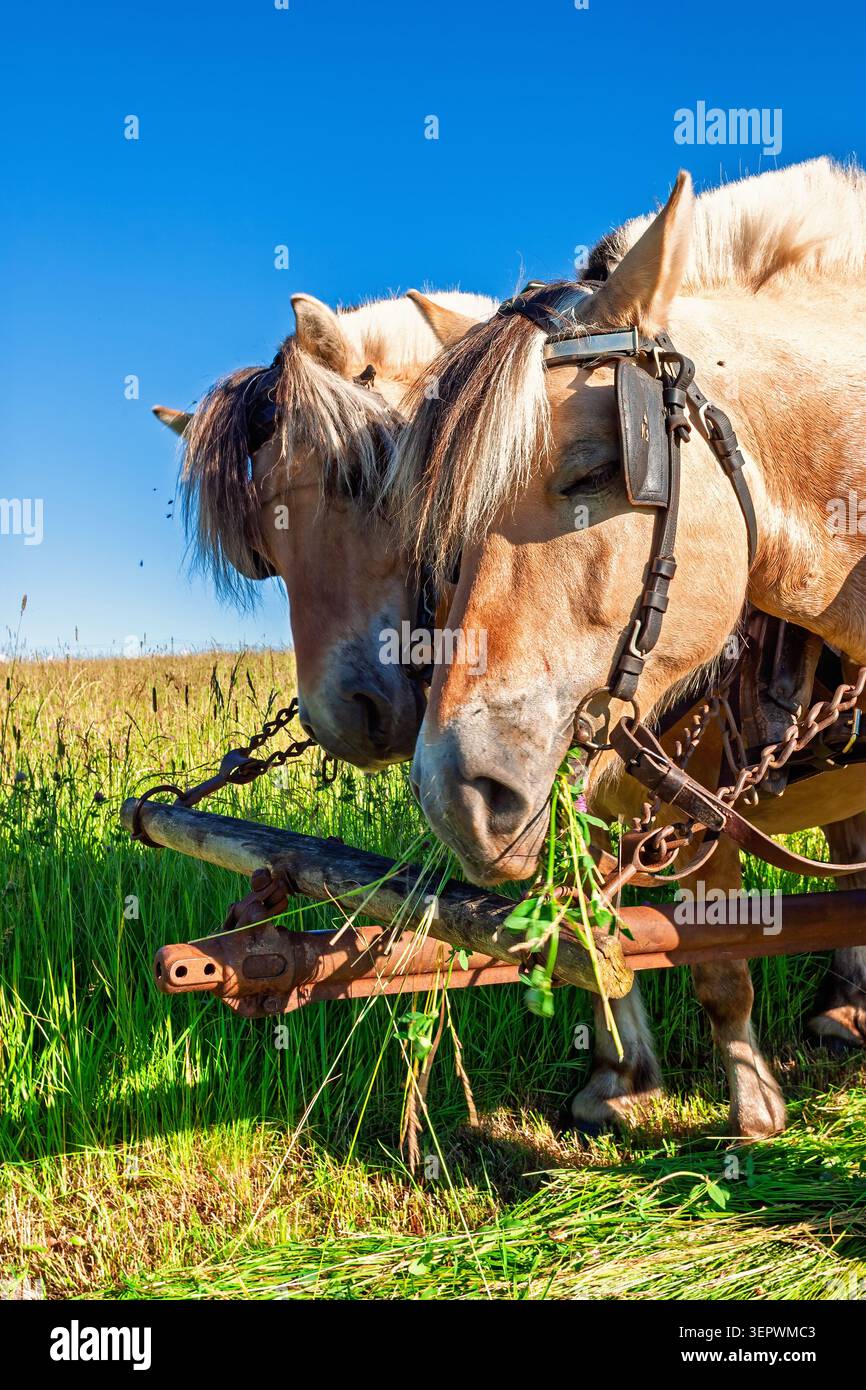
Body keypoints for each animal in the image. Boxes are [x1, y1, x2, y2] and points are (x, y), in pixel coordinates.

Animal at [388, 159, 866, 1137]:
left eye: (596, 469)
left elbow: (715, 952)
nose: (453, 794)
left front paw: (752, 1111)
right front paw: (621, 1081)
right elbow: (608, 935)